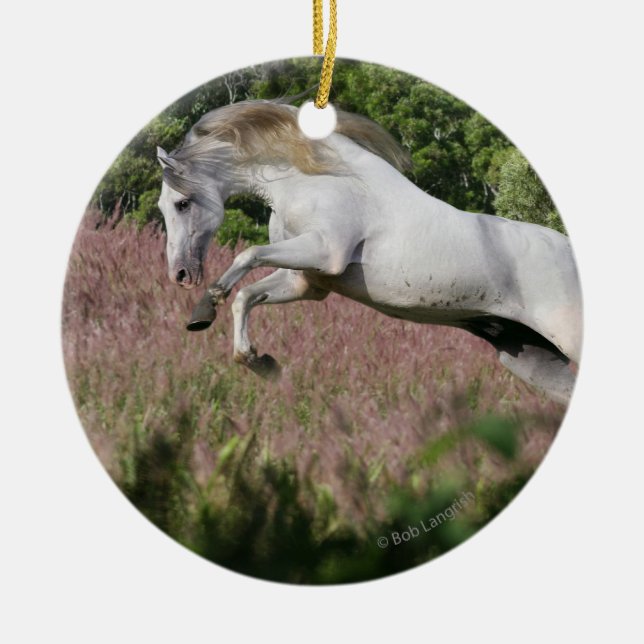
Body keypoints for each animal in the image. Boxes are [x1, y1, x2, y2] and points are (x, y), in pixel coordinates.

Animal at [156, 100, 582, 404]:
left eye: (182, 203)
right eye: (164, 206)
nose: (180, 274)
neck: (317, 177)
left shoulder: (323, 251)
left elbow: (248, 255)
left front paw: (205, 309)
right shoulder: (306, 282)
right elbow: (246, 295)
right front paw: (258, 360)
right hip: (533, 361)